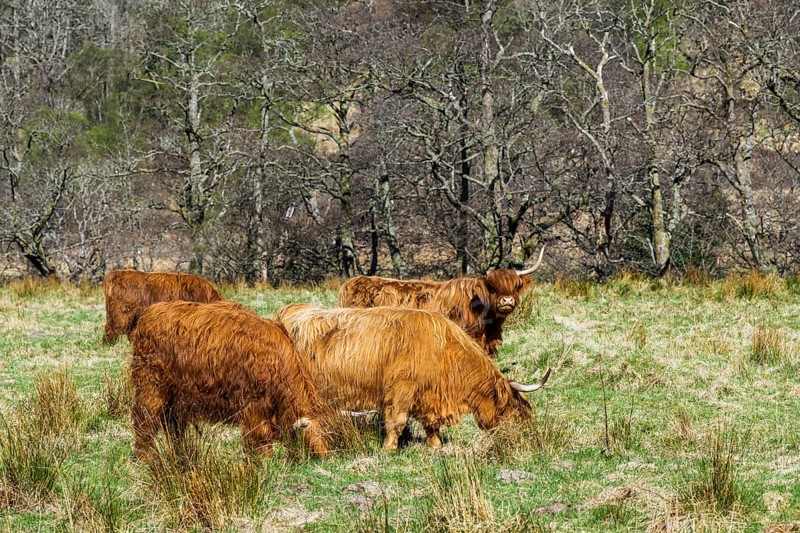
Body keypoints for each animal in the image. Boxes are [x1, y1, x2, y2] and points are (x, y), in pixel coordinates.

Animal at [129, 300, 329, 461]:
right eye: (309, 441)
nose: (323, 457)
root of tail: (151, 311)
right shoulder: (253, 404)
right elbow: (261, 436)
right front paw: (264, 460)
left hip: (176, 397)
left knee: (174, 427)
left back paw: (180, 454)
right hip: (151, 386)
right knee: (145, 421)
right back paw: (145, 457)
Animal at [274, 303, 551, 450]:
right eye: (517, 411)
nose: (528, 440)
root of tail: (288, 309)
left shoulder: (428, 396)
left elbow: (431, 424)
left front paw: (435, 445)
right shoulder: (401, 389)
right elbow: (396, 420)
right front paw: (388, 448)